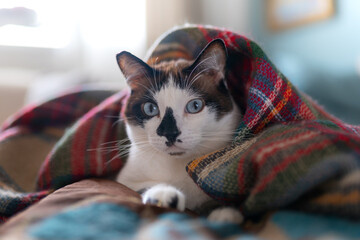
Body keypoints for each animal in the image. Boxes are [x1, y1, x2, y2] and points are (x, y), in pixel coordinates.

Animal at [116, 39, 243, 223]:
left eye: (195, 106)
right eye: (150, 109)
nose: (170, 133)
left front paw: (224, 214)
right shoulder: (123, 181)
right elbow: (135, 188)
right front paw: (164, 195)